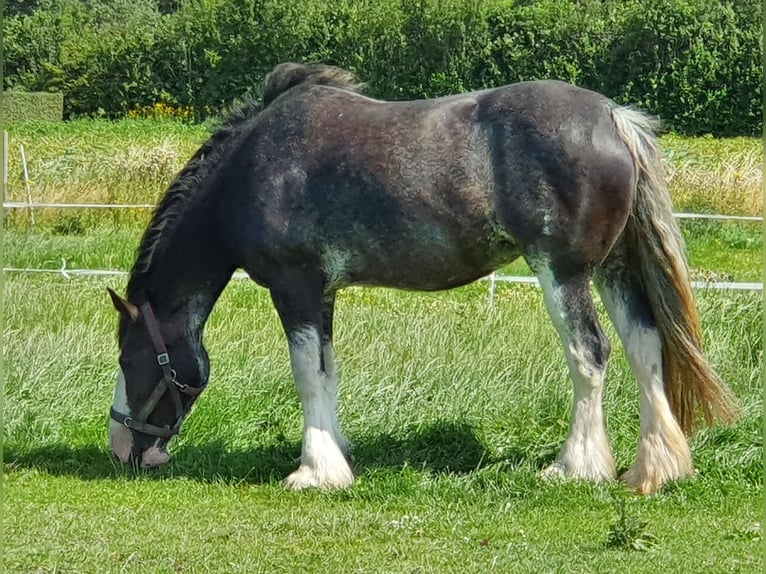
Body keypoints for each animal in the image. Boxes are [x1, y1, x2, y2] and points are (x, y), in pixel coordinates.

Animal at [108, 62, 736, 496]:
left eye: (128, 359)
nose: (121, 449)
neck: (253, 166)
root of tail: (613, 118)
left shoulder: (296, 287)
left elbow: (307, 375)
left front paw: (315, 472)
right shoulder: (323, 294)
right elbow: (328, 372)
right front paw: (337, 454)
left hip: (563, 272)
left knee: (590, 353)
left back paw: (575, 467)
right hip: (613, 268)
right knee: (643, 344)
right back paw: (654, 468)